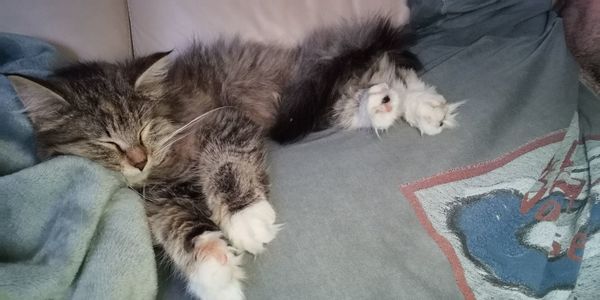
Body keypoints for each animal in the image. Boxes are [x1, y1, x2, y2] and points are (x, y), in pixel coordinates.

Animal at [5, 16, 460, 300]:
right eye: (106, 141)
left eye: (143, 129)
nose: (137, 159)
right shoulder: (159, 199)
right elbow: (180, 227)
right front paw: (213, 270)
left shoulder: (223, 120)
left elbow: (223, 164)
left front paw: (245, 217)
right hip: (323, 102)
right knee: (373, 90)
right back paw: (384, 106)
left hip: (309, 90)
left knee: (392, 72)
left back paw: (422, 106)